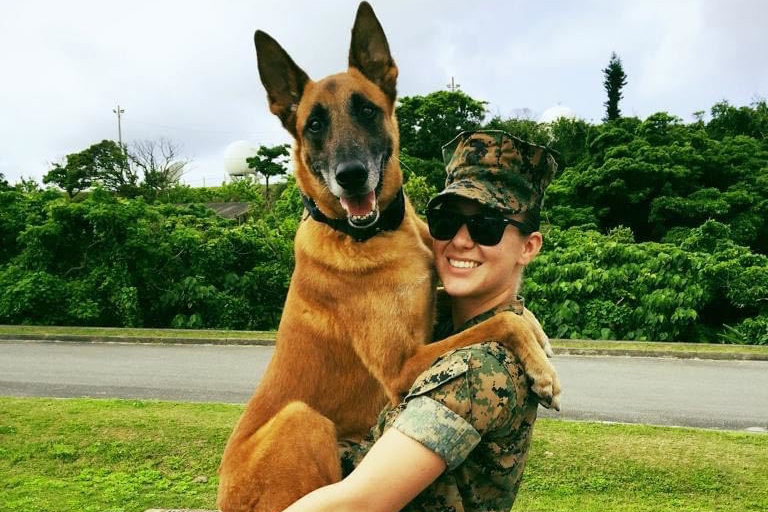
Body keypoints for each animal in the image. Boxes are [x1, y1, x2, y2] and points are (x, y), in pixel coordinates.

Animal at [216, 2, 560, 510]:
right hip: (303, 419)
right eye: (314, 124)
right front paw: (542, 370)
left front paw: (541, 340)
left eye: (366, 110)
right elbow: (501, 321)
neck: (373, 233)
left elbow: (513, 314)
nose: (351, 176)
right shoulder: (401, 370)